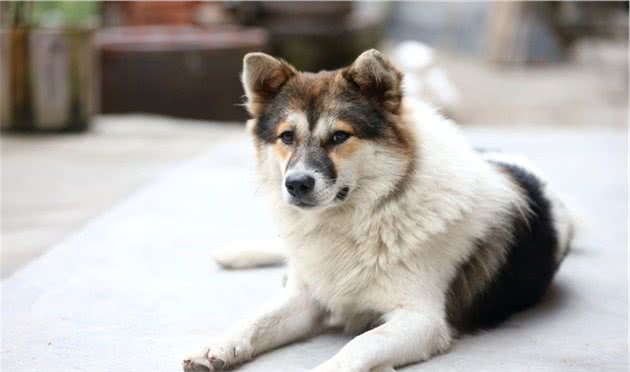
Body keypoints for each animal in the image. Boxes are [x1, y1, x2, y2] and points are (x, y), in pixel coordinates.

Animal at [181, 49, 576, 372]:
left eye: (340, 137)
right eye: (287, 137)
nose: (296, 184)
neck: (363, 216)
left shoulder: (422, 320)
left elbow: (360, 345)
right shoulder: (305, 299)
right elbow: (256, 320)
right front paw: (219, 345)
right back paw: (235, 253)